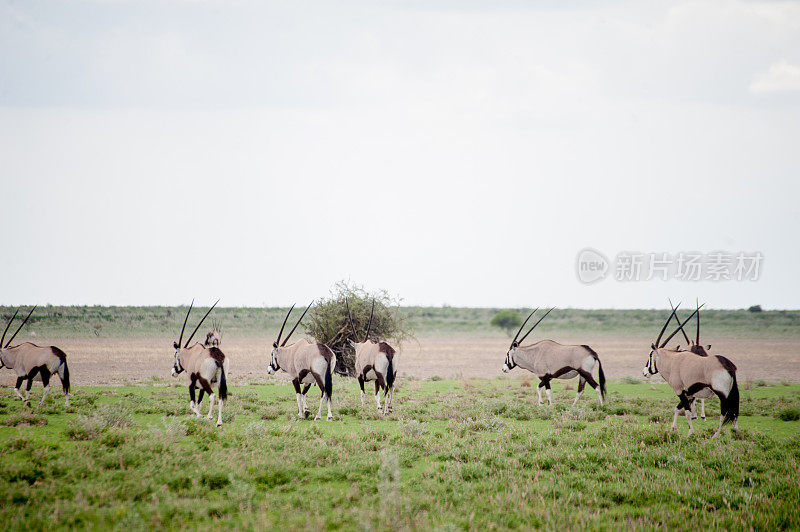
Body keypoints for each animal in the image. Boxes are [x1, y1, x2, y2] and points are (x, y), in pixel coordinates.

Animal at [640, 302, 740, 438]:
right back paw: (736, 433)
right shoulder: (689, 393)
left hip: (722, 393)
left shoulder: (680, 391)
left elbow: (686, 412)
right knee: (734, 412)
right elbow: (677, 408)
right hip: (731, 392)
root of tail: (728, 365)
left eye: (650, 354)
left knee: (724, 412)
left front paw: (690, 433)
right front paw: (673, 429)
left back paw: (715, 435)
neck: (672, 361)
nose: (645, 372)